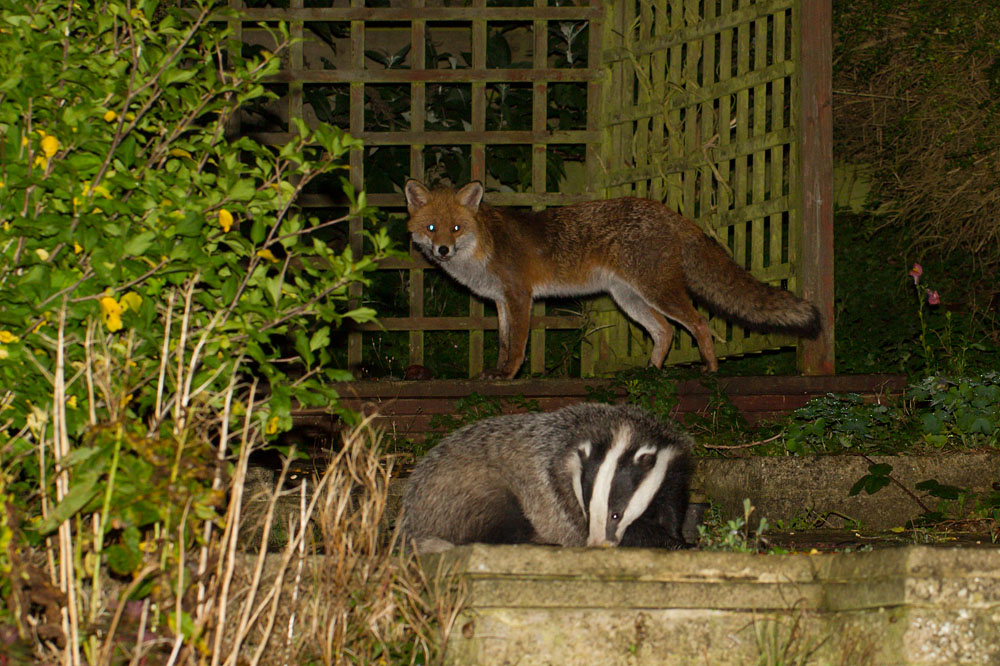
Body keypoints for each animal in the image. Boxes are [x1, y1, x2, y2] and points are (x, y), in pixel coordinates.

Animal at [404, 179, 821, 379]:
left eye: (456, 228)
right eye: (431, 228)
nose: (442, 251)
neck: (483, 246)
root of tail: (674, 215)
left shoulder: (520, 297)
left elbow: (518, 347)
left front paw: (507, 376)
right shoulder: (502, 302)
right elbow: (505, 343)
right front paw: (496, 370)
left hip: (656, 291)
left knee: (699, 324)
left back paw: (711, 369)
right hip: (630, 298)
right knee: (665, 332)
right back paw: (651, 373)